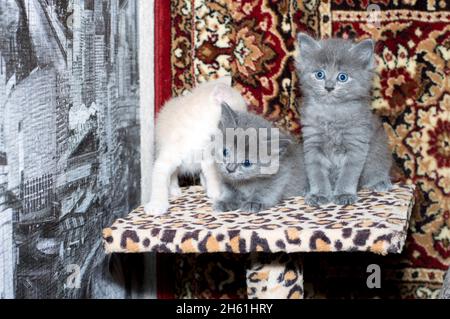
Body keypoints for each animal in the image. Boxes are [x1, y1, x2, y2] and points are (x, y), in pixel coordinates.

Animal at [144, 77, 246, 215]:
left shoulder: (209, 157)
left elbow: (212, 174)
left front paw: (216, 192)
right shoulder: (167, 157)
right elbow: (159, 180)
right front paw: (157, 205)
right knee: (174, 173)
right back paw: (174, 189)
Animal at [296, 33, 390, 208]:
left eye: (342, 77)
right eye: (319, 74)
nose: (329, 87)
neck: (331, 114)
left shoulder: (356, 144)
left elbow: (348, 174)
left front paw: (344, 194)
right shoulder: (312, 144)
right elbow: (316, 173)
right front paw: (318, 194)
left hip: (379, 149)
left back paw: (380, 182)